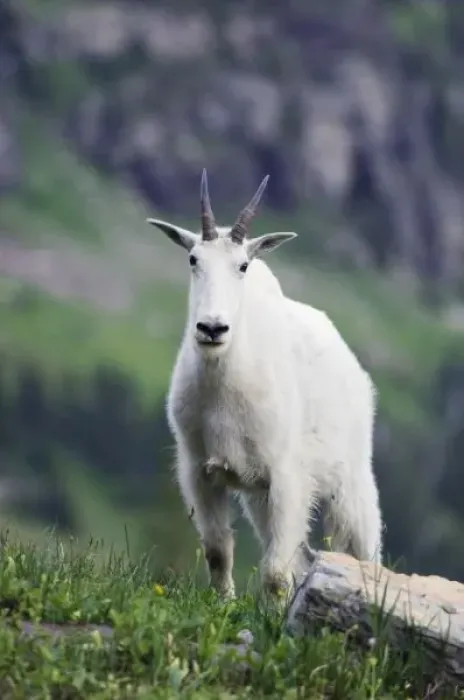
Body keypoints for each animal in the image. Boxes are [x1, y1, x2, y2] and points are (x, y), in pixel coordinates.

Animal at [147, 170, 383, 598]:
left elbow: (274, 571)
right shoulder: (199, 472)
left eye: (243, 265)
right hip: (259, 497)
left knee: (364, 549)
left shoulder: (287, 477)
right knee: (302, 556)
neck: (225, 386)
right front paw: (223, 605)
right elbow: (218, 551)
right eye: (193, 259)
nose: (212, 328)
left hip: (351, 479)